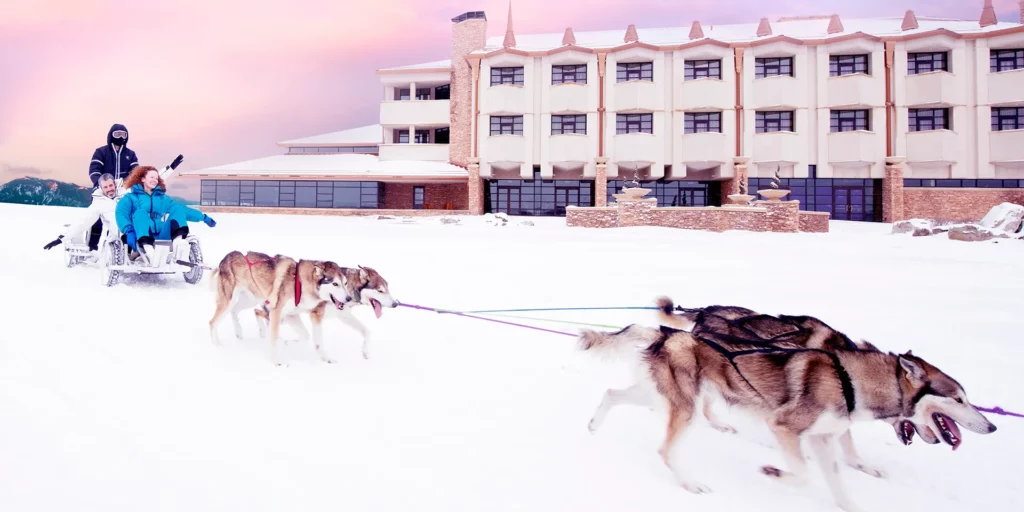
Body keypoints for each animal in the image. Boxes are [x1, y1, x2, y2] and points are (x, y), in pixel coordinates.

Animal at [205, 250, 362, 364]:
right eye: (335, 284)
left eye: (345, 283)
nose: (349, 298)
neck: (300, 284)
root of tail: (226, 257)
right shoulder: (276, 312)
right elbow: (274, 338)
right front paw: (276, 361)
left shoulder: (292, 315)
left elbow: (306, 336)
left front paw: (288, 343)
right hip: (229, 300)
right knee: (213, 322)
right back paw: (217, 346)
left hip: (249, 300)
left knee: (235, 311)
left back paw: (239, 331)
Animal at [251, 266, 399, 358]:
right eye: (380, 290)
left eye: (388, 289)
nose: (396, 303)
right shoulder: (316, 316)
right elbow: (317, 341)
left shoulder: (344, 316)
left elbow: (367, 332)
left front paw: (366, 352)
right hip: (281, 316)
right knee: (257, 311)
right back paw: (263, 332)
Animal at [581, 319, 995, 512]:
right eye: (959, 398)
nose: (991, 425)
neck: (849, 380)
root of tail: (668, 332)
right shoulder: (783, 427)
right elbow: (802, 473)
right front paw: (773, 472)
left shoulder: (824, 439)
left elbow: (837, 481)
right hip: (685, 409)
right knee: (666, 450)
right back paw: (690, 484)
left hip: (662, 398)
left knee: (611, 394)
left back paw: (593, 425)